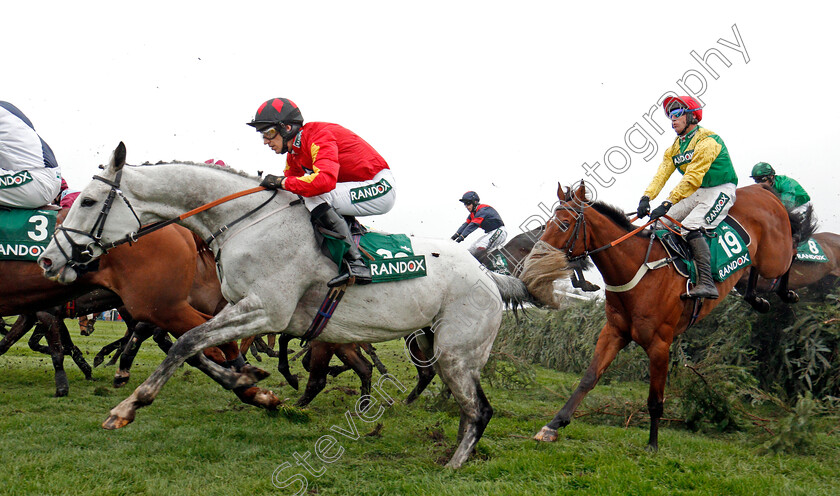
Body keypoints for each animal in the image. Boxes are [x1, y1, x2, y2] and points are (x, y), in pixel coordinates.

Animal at [36, 141, 528, 466]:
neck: (243, 222)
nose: (48, 259)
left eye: (88, 201)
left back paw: (454, 464)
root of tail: (489, 275)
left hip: (456, 352)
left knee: (479, 409)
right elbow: (192, 344)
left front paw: (129, 407)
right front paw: (250, 383)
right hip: (441, 348)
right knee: (467, 407)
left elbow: (187, 342)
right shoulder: (237, 307)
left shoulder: (265, 310)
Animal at [520, 181, 812, 450]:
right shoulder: (614, 332)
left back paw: (787, 292)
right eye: (546, 224)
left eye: (564, 224)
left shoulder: (660, 344)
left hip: (774, 255)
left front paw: (652, 443)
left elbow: (655, 400)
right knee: (754, 269)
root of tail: (763, 190)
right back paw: (756, 299)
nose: (532, 263)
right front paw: (553, 425)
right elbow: (588, 379)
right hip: (756, 258)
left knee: (791, 251)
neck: (638, 269)